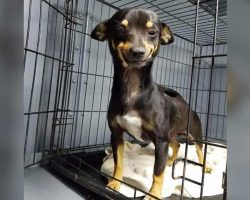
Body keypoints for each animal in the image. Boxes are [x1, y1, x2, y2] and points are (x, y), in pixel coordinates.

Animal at [90, 8, 211, 200]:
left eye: (152, 32)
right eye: (120, 29)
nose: (138, 51)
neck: (132, 87)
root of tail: (184, 102)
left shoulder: (160, 141)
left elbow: (157, 172)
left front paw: (154, 195)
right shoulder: (116, 134)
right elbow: (118, 162)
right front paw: (116, 183)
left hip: (194, 133)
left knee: (200, 150)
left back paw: (205, 167)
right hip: (171, 135)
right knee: (177, 145)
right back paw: (170, 161)